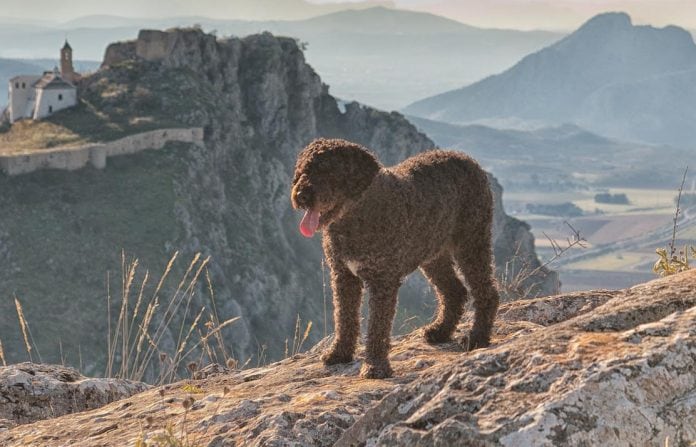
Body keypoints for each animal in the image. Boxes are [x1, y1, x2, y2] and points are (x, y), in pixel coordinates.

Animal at [290, 138, 500, 380]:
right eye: (302, 170)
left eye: (328, 171)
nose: (301, 196)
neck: (355, 217)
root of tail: (468, 159)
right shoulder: (343, 276)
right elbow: (344, 318)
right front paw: (339, 353)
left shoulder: (383, 280)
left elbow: (377, 326)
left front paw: (376, 366)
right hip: (433, 254)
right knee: (454, 291)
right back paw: (440, 331)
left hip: (472, 242)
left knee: (486, 292)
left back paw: (477, 337)